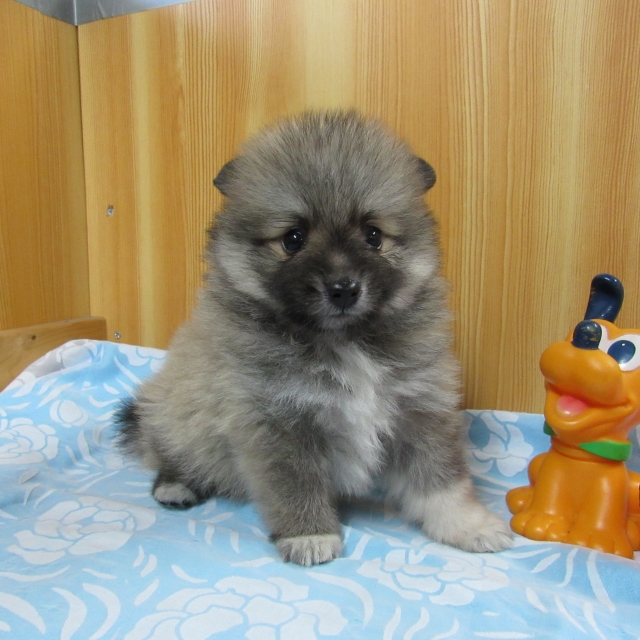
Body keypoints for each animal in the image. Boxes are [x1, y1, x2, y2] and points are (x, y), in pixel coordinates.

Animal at [116, 111, 512, 565]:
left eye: (373, 235)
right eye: (293, 238)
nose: (343, 289)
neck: (343, 341)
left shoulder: (420, 407)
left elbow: (442, 479)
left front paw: (467, 525)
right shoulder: (280, 421)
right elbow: (296, 484)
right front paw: (310, 534)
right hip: (178, 413)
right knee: (167, 448)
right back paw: (176, 484)